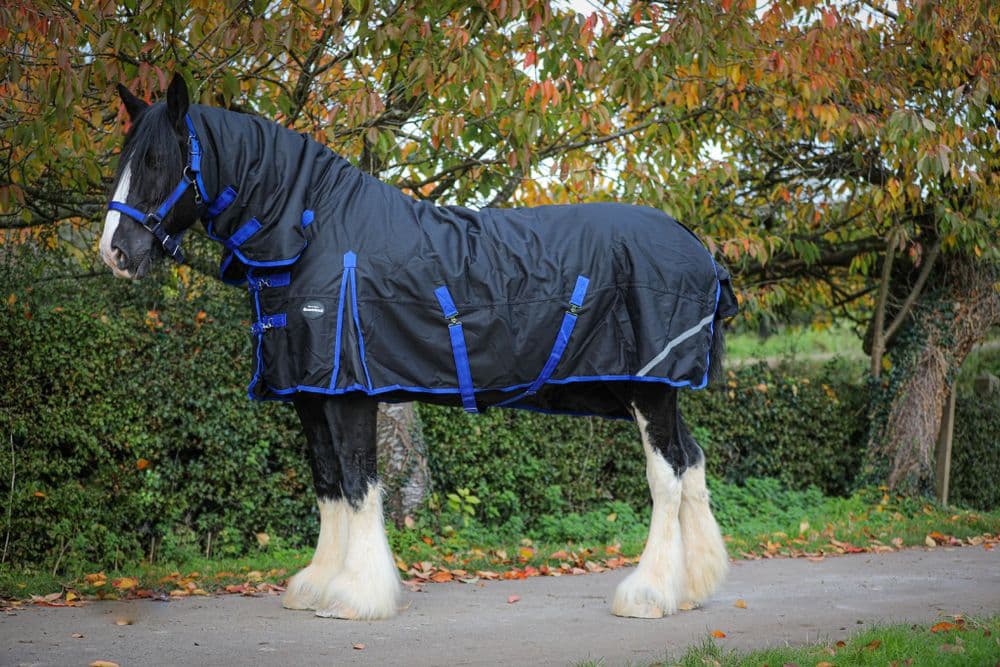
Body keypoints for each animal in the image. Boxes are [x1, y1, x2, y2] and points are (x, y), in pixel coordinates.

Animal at [100, 74, 738, 621]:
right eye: (125, 159)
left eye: (158, 161)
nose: (115, 252)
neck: (314, 230)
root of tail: (696, 245)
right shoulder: (309, 393)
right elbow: (328, 483)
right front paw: (317, 584)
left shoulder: (349, 393)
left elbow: (359, 483)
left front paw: (356, 595)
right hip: (642, 392)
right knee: (692, 461)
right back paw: (693, 586)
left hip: (652, 388)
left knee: (666, 476)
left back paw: (648, 593)